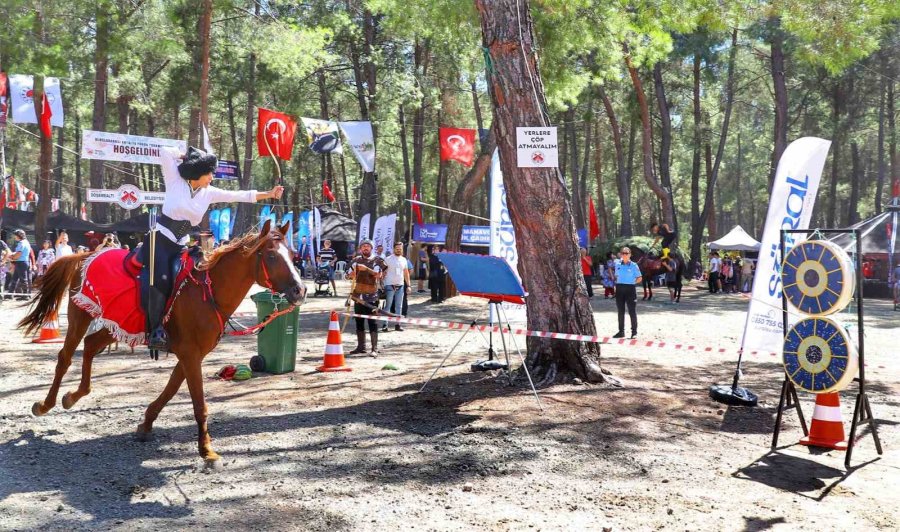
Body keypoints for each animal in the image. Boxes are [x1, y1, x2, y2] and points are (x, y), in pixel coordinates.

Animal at [16, 219, 306, 462]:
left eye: (292, 255)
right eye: (271, 255)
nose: (300, 290)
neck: (207, 292)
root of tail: (84, 255)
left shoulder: (191, 355)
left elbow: (170, 390)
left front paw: (146, 424)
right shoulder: (190, 355)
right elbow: (199, 403)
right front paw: (207, 450)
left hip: (114, 323)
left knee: (89, 347)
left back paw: (73, 397)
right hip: (81, 313)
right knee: (65, 357)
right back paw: (45, 404)